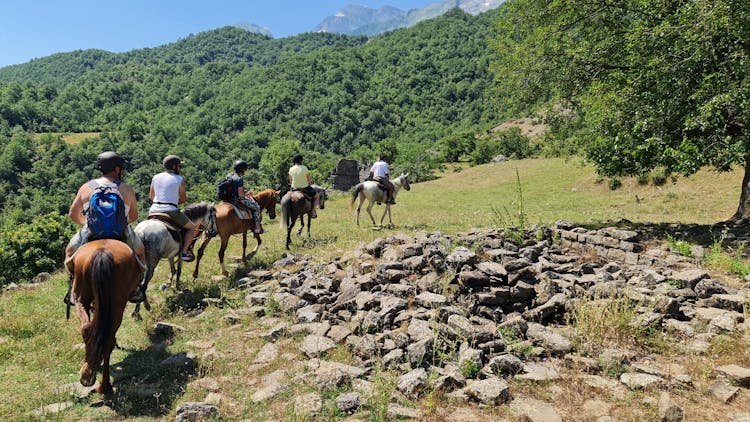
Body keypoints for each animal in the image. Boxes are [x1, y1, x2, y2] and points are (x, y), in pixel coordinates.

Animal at [70, 239, 143, 394]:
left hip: (82, 298)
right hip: (117, 304)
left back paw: (88, 375)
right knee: (107, 339)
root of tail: (101, 253)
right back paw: (105, 386)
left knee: (87, 329)